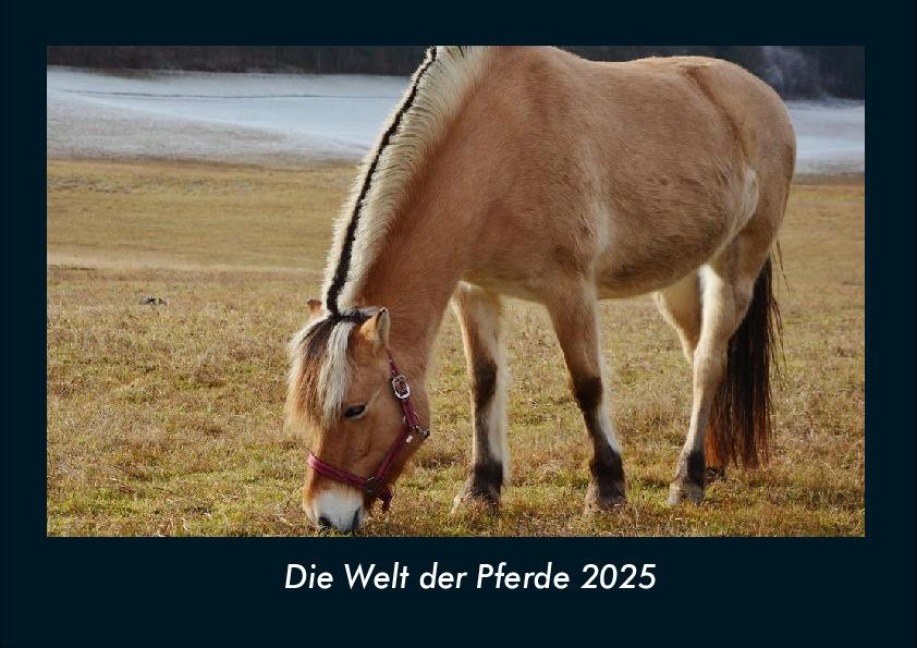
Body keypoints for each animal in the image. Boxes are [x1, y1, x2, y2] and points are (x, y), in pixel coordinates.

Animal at [286, 46, 795, 533]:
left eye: (355, 409)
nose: (325, 515)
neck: (500, 144)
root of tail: (764, 98)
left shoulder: (569, 291)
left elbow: (587, 385)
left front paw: (607, 492)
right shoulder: (475, 292)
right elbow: (484, 383)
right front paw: (480, 491)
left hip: (734, 268)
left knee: (708, 364)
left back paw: (687, 481)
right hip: (680, 281)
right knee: (699, 358)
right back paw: (711, 465)